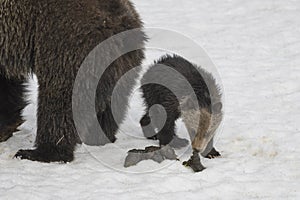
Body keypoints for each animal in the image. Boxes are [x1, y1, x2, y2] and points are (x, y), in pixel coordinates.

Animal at [0, 0, 145, 162]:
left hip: (67, 46)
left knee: (59, 101)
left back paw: (40, 152)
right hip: (123, 66)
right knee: (111, 104)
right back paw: (98, 136)